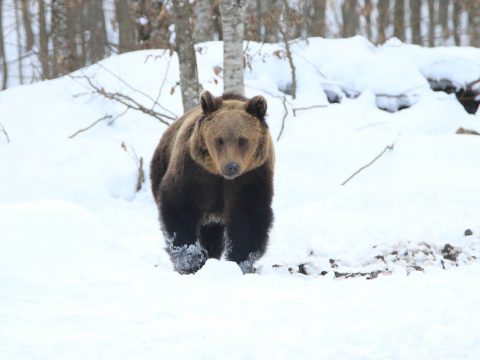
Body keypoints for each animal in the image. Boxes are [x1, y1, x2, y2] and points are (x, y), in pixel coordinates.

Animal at [152, 90, 276, 272]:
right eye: (219, 139)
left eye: (242, 140)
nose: (231, 166)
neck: (220, 177)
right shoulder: (194, 173)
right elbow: (179, 208)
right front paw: (191, 261)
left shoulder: (251, 177)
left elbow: (249, 218)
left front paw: (240, 261)